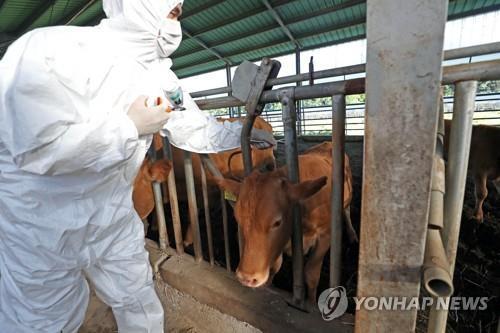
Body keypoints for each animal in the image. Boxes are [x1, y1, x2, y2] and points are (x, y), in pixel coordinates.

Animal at [217, 141, 354, 302]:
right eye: (237, 218)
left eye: (277, 222)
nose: (246, 278)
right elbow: (275, 267)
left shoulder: (325, 236)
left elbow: (311, 274)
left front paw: (311, 303)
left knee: (347, 211)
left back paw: (352, 234)